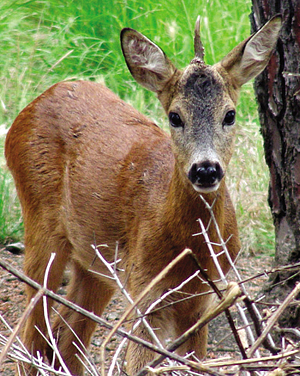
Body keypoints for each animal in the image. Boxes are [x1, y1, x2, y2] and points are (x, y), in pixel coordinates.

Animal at [4, 15, 282, 376]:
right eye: (175, 117)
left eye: (230, 114)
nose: (205, 170)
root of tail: (29, 109)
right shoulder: (145, 292)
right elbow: (138, 364)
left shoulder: (207, 299)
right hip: (40, 221)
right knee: (31, 333)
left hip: (95, 260)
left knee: (67, 334)